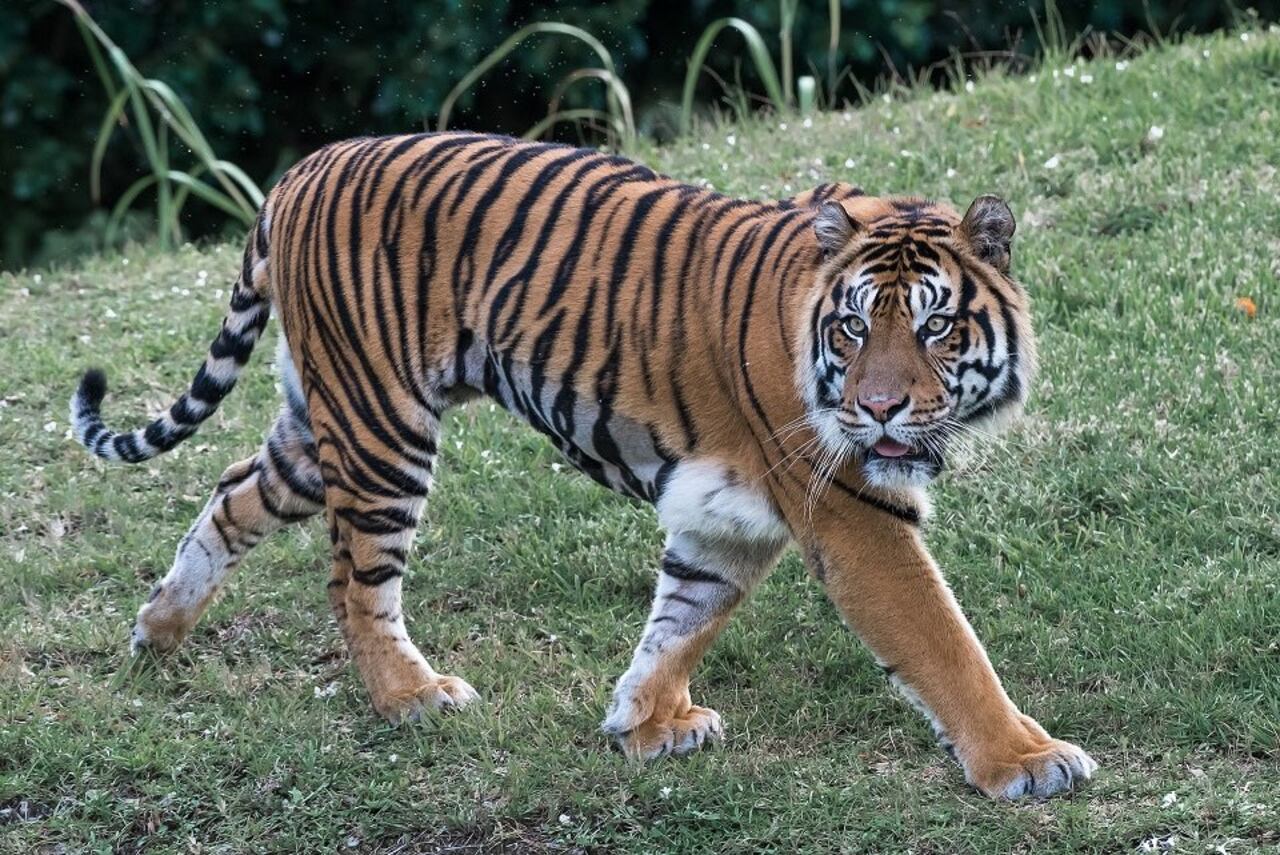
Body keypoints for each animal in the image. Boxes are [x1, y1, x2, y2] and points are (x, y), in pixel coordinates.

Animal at [71, 131, 1096, 799]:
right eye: (853, 327)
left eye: (935, 325)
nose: (879, 408)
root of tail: (297, 172)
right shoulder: (852, 511)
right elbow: (943, 640)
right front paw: (1026, 760)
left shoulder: (725, 514)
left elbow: (683, 616)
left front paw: (644, 721)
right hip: (381, 428)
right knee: (355, 580)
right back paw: (412, 697)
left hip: (321, 427)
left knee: (232, 492)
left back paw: (159, 632)